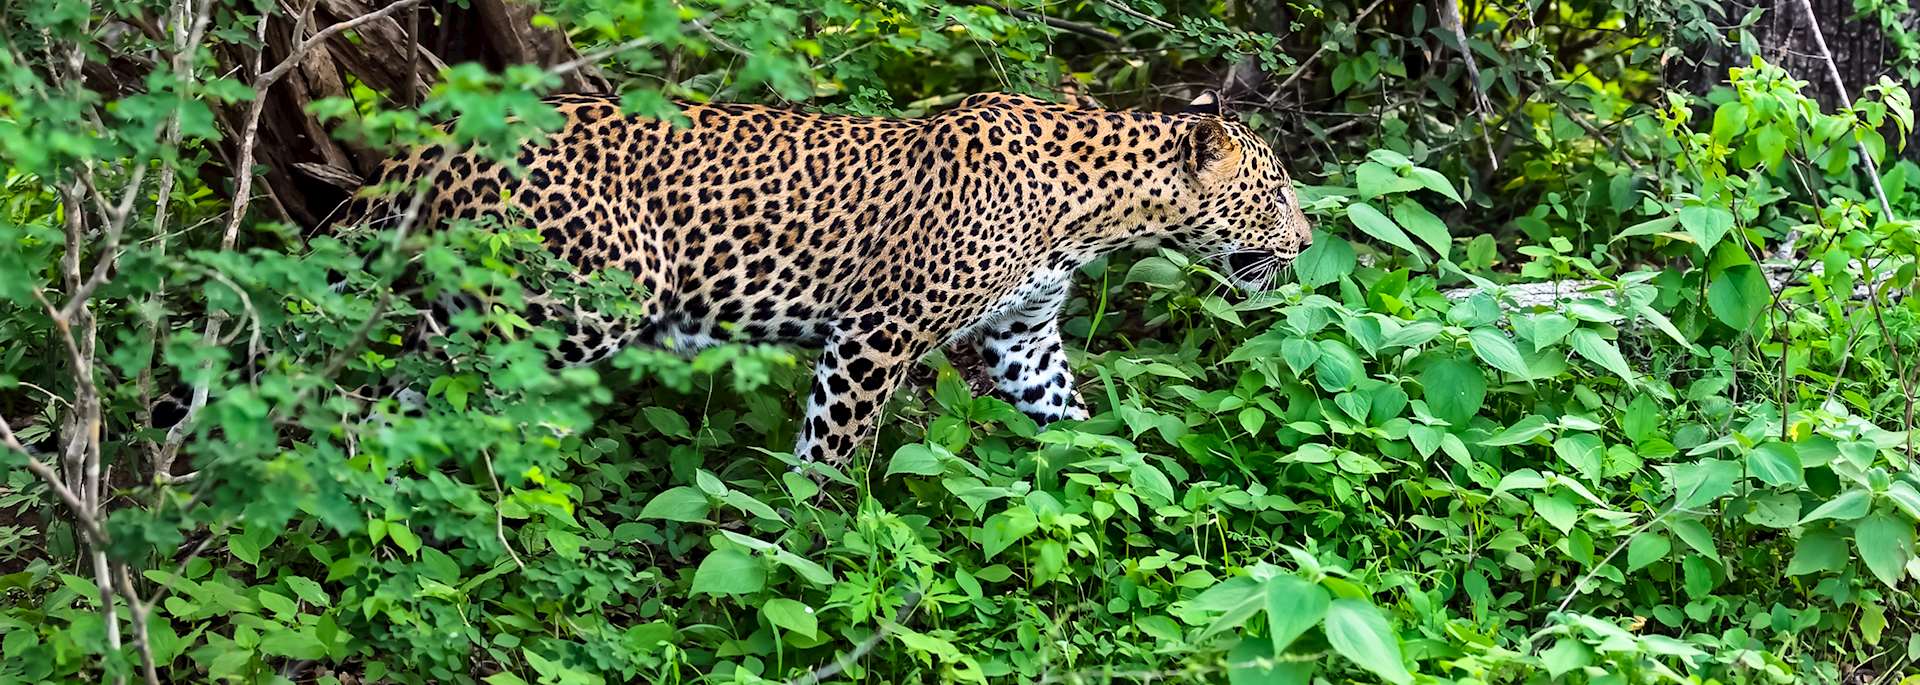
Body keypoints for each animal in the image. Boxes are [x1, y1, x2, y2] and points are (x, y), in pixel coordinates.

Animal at [333, 90, 1313, 467]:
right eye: (1275, 193)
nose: (1307, 244)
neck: (1095, 213)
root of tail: (443, 134)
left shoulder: (1025, 336)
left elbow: (1070, 424)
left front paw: (1119, 490)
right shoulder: (877, 332)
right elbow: (833, 449)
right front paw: (811, 537)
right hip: (566, 307)